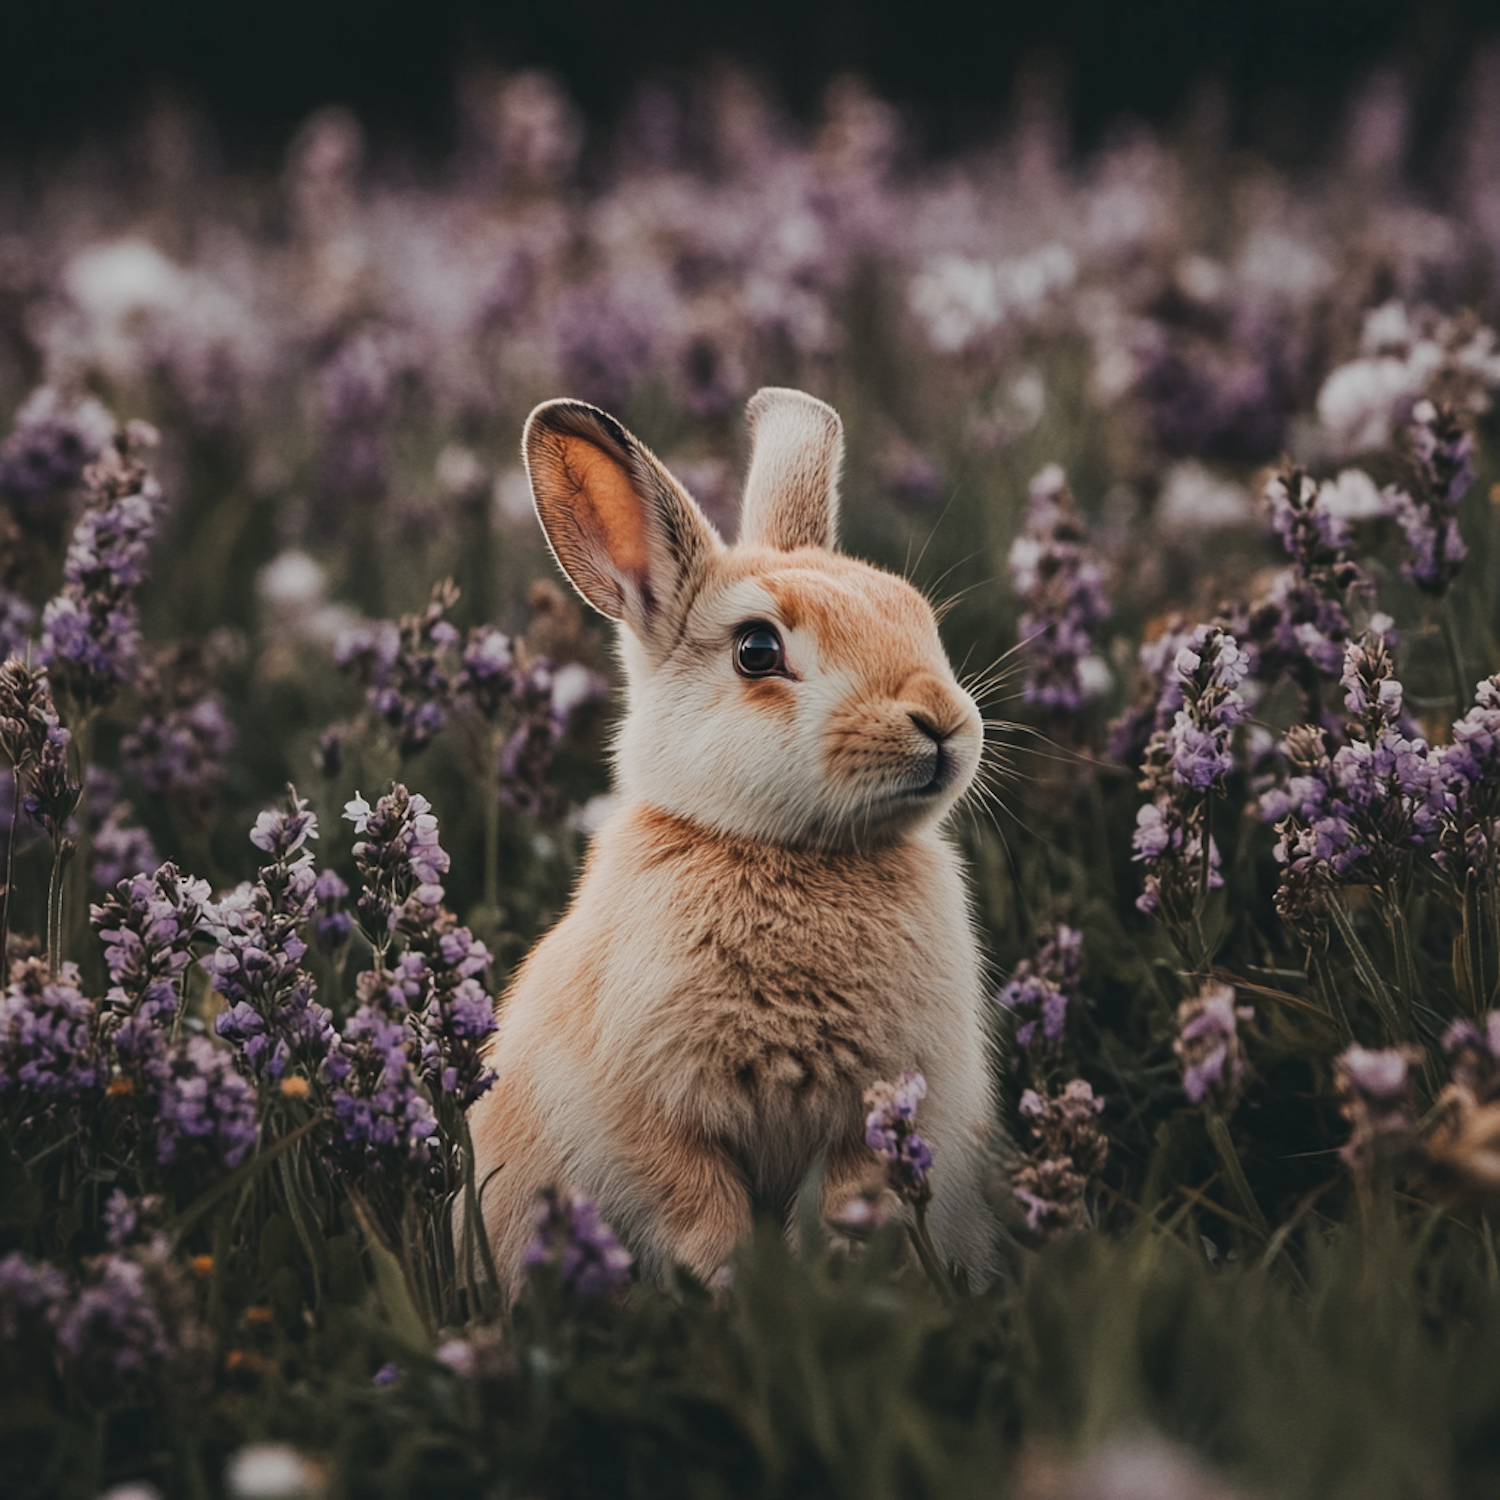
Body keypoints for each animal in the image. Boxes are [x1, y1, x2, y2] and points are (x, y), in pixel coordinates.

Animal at [468, 387, 1002, 1290]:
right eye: (757, 650)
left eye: (914, 615)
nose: (941, 722)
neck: (792, 852)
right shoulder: (652, 1114)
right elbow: (699, 1206)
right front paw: (735, 1286)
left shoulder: (876, 1111)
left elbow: (853, 1194)